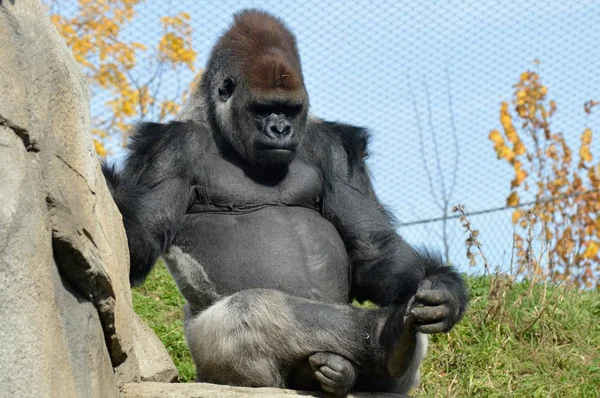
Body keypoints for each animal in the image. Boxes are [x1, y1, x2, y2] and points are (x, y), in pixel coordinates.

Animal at [103, 9, 468, 394]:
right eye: (263, 110)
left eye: (290, 110)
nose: (280, 130)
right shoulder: (167, 150)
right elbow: (143, 235)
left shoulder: (334, 147)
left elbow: (373, 244)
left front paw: (446, 291)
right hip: (212, 366)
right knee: (246, 312)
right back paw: (384, 339)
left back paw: (364, 361)